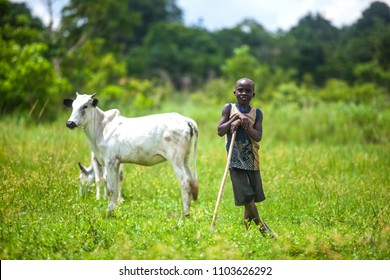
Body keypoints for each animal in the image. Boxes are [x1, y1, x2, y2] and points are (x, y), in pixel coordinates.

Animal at [64, 93, 198, 215]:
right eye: (73, 106)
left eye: (85, 106)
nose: (70, 123)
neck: (101, 127)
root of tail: (184, 119)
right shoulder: (116, 162)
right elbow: (115, 186)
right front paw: (114, 210)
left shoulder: (109, 161)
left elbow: (110, 188)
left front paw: (108, 212)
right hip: (185, 159)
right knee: (191, 180)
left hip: (176, 159)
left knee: (185, 182)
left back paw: (184, 214)